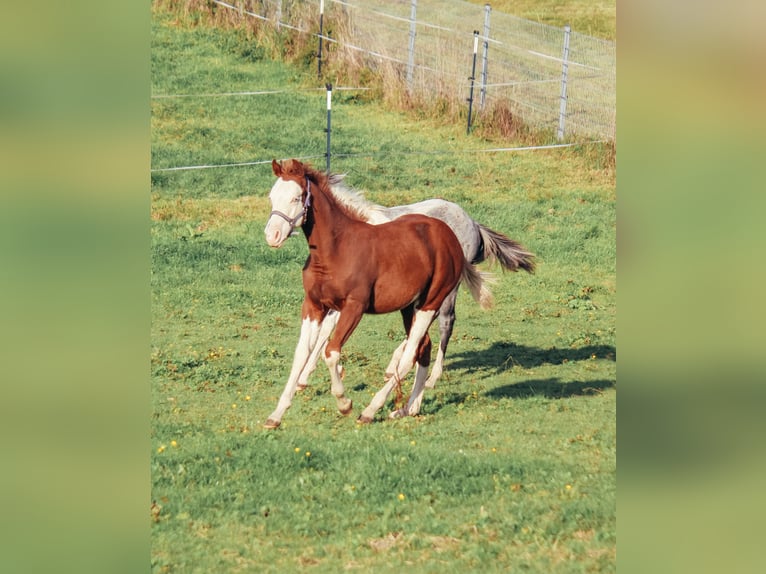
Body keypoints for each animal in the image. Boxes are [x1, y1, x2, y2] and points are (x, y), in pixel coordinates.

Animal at [262, 159, 492, 428]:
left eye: (297, 197)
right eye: (272, 197)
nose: (272, 235)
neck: (336, 250)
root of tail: (449, 235)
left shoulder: (353, 307)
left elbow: (330, 352)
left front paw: (344, 403)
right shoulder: (314, 305)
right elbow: (302, 354)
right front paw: (276, 414)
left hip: (433, 302)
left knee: (414, 351)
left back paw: (372, 410)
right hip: (410, 306)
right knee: (423, 347)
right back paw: (408, 409)